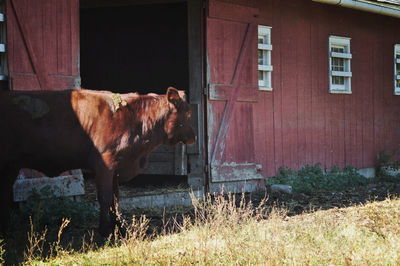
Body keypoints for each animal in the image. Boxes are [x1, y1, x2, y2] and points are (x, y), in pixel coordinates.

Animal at [0, 87, 197, 235]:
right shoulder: (105, 163)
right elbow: (105, 196)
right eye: (188, 114)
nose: (194, 137)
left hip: (10, 166)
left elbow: (115, 198)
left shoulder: (117, 165)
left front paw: (119, 227)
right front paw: (104, 231)